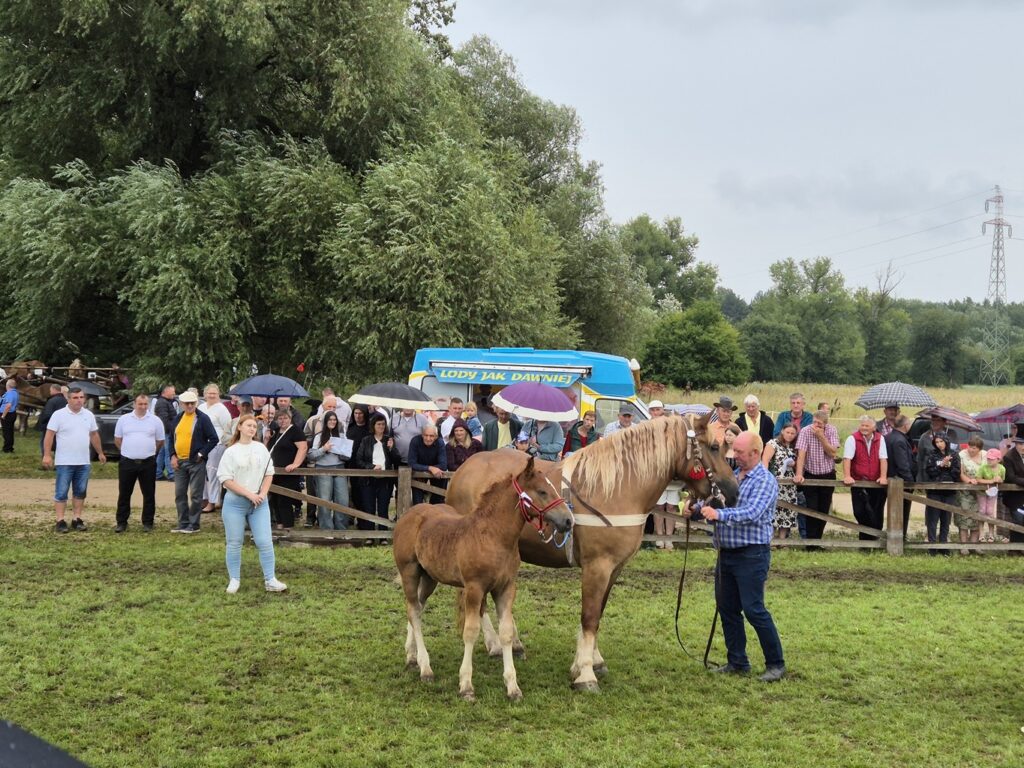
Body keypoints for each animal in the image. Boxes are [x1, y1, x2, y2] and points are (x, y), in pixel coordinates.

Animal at [393, 456, 577, 704]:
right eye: (542, 491)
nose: (568, 520)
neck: (493, 536)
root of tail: (409, 513)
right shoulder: (474, 588)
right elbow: (470, 631)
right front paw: (466, 686)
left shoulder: (506, 588)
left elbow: (506, 632)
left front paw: (513, 687)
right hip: (410, 572)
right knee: (414, 611)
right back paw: (425, 668)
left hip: (430, 577)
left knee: (417, 609)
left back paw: (412, 657)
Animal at [448, 417, 737, 696]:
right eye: (714, 447)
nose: (733, 492)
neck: (618, 489)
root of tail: (463, 470)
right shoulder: (597, 566)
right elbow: (589, 616)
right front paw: (586, 674)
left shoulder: (615, 568)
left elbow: (599, 613)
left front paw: (591, 662)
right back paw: (496, 644)